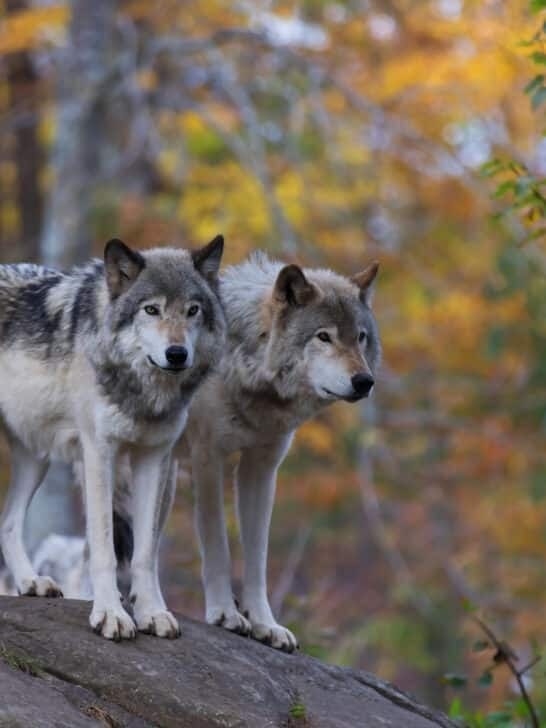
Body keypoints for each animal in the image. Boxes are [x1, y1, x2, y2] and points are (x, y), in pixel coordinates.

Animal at [0, 235, 225, 640]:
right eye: (151, 309)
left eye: (192, 310)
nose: (177, 353)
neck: (142, 393)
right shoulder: (98, 455)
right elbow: (103, 547)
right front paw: (110, 614)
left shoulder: (155, 458)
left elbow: (145, 553)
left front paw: (152, 612)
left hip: (34, 457)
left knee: (7, 524)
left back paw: (30, 582)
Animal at [142, 253, 380, 652]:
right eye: (324, 336)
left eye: (360, 337)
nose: (364, 382)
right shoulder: (209, 460)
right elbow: (218, 545)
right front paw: (225, 613)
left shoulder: (262, 467)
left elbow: (257, 555)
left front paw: (265, 624)